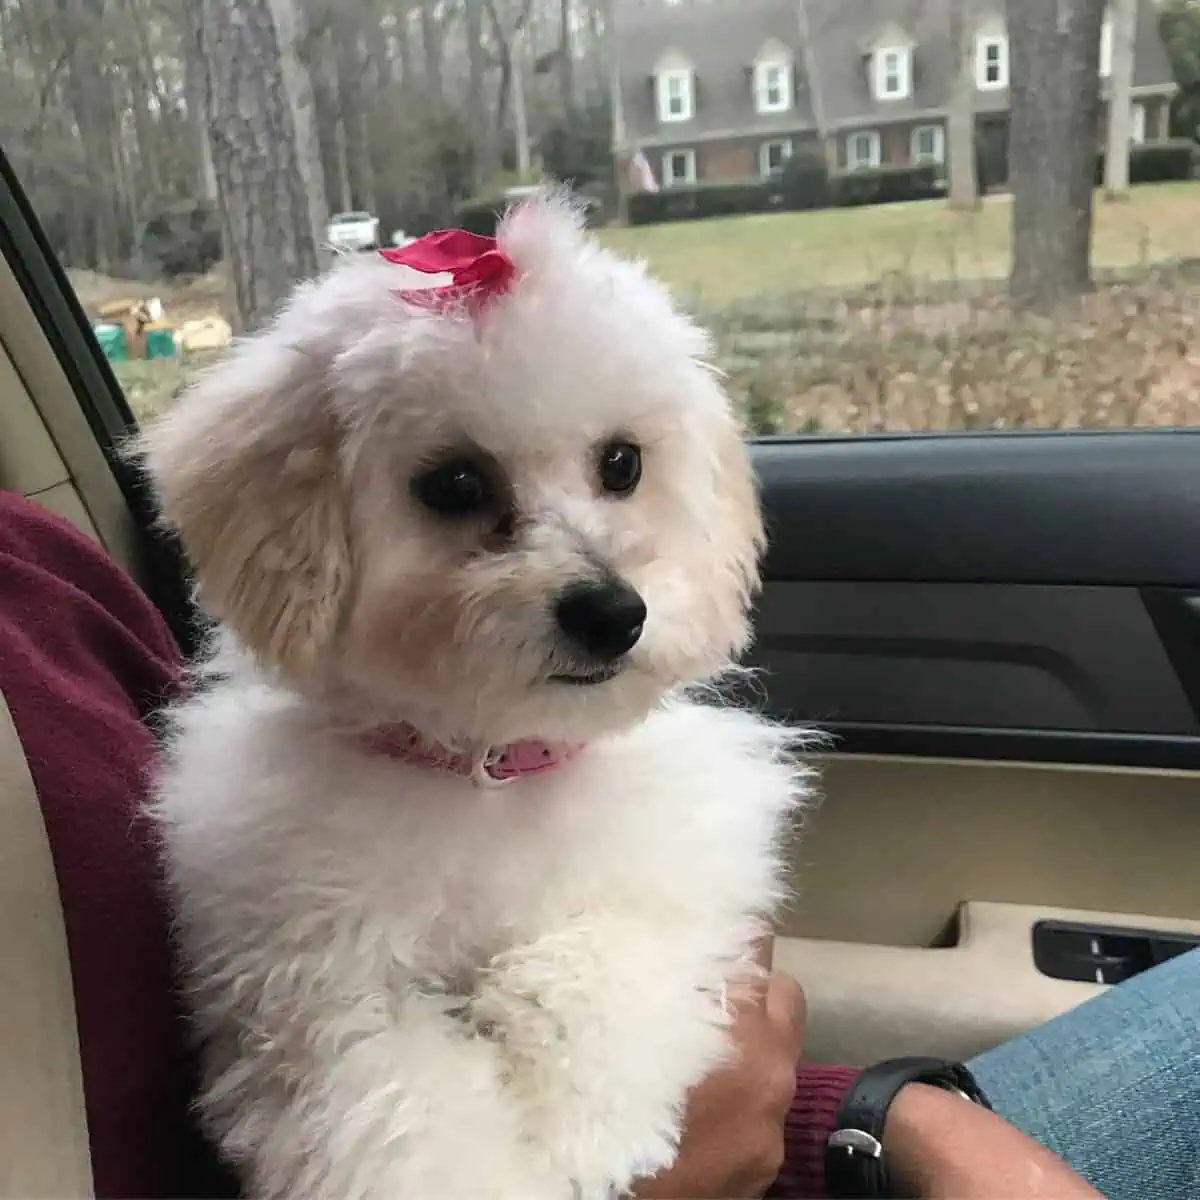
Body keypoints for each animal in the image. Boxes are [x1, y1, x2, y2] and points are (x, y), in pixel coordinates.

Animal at [145, 192, 811, 1200]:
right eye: (455, 482)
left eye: (623, 463)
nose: (613, 614)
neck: (490, 765)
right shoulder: (316, 993)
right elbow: (395, 1100)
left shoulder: (678, 887)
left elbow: (604, 962)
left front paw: (583, 1124)